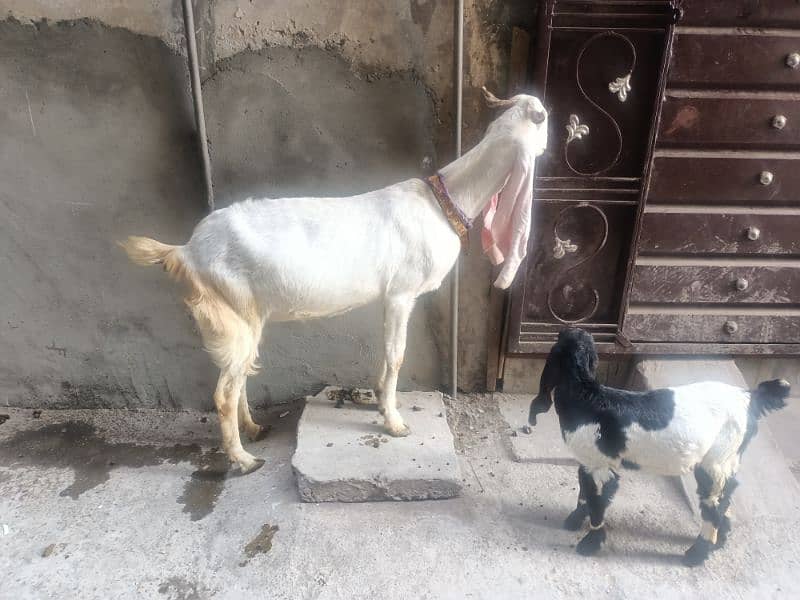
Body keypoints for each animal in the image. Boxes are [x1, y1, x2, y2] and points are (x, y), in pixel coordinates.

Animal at [122, 89, 548, 474]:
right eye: (544, 120)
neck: (444, 204)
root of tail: (186, 250)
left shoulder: (387, 298)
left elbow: (383, 352)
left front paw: (381, 401)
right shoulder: (402, 293)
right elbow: (396, 355)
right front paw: (395, 423)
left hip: (245, 319)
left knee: (238, 375)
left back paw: (254, 430)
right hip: (231, 312)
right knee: (224, 392)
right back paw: (243, 459)